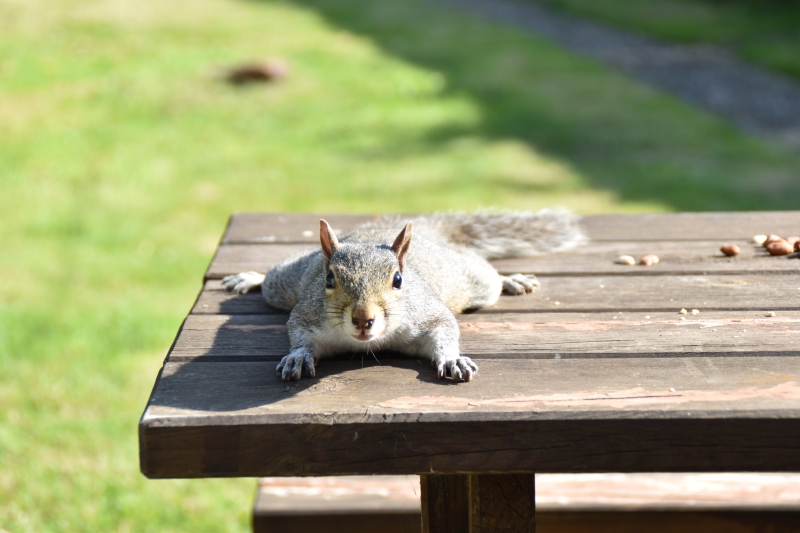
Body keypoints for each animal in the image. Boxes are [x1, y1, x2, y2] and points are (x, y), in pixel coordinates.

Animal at [222, 210, 584, 380]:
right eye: (329, 279)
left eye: (398, 280)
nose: (363, 319)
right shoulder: (306, 314)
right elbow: (297, 334)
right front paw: (298, 356)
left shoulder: (428, 314)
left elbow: (446, 330)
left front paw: (452, 358)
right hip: (285, 284)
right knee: (273, 277)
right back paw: (250, 277)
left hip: (472, 279)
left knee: (487, 274)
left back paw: (512, 279)